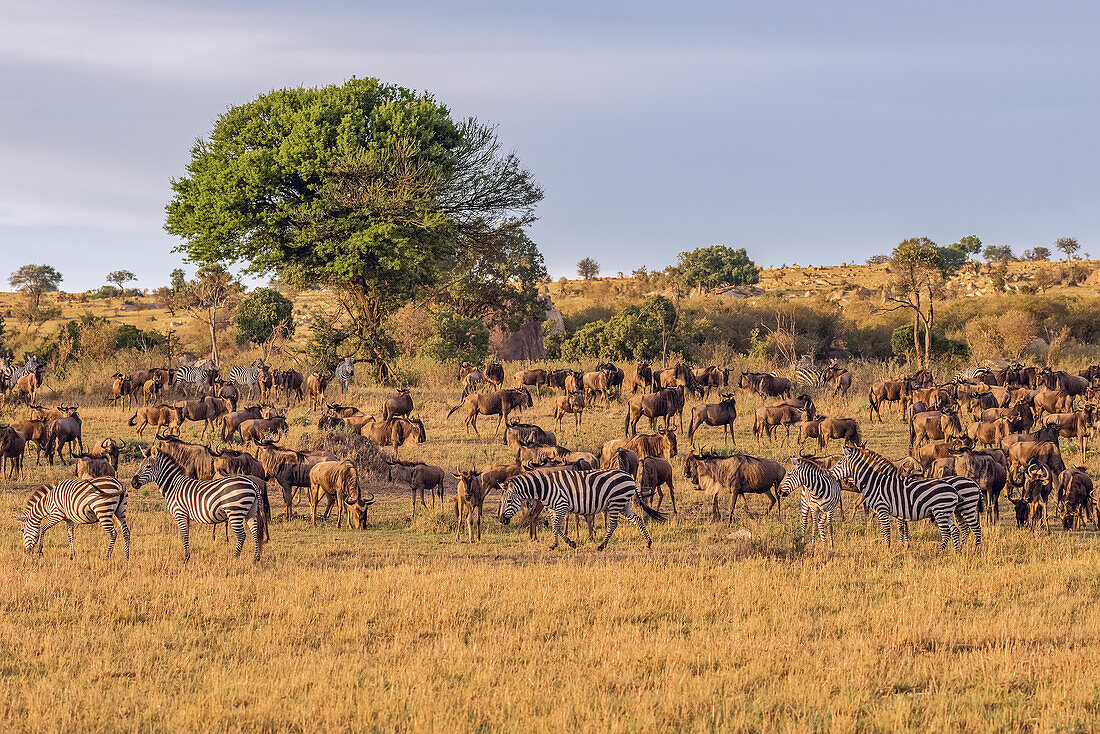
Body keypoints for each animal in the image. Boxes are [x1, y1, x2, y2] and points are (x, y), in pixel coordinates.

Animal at [133, 448, 266, 563]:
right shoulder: (185, 515)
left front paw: (186, 559)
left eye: (148, 467)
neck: (173, 487)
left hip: (235, 511)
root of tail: (252, 483)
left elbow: (183, 535)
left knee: (241, 535)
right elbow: (186, 535)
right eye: (140, 466)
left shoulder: (179, 513)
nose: (133, 483)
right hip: (251, 512)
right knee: (255, 533)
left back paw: (235, 558)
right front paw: (187, 556)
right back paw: (256, 559)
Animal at [501, 470, 668, 550]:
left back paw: (602, 546)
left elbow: (556, 526)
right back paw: (648, 542)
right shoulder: (552, 508)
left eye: (508, 501)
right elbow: (556, 527)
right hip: (624, 503)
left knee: (613, 524)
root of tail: (630, 477)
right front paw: (566, 543)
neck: (545, 488)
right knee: (637, 519)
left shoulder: (561, 504)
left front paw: (561, 544)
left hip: (616, 501)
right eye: (501, 501)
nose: (502, 520)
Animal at [827, 442, 968, 550]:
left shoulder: (885, 509)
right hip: (946, 512)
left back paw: (940, 552)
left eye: (839, 463)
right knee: (955, 531)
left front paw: (890, 548)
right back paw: (957, 552)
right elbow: (887, 529)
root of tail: (953, 490)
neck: (877, 481)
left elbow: (890, 529)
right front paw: (893, 546)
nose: (830, 474)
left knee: (947, 532)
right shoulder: (890, 510)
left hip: (941, 512)